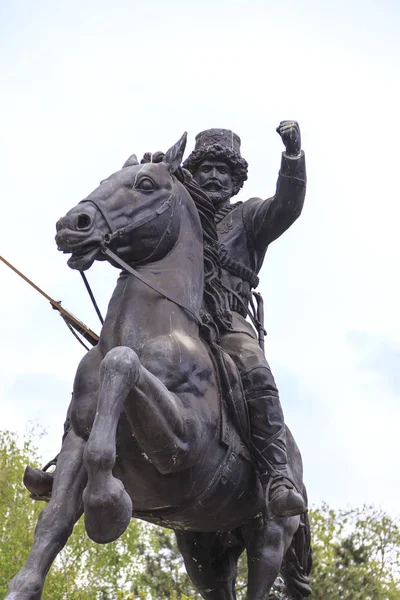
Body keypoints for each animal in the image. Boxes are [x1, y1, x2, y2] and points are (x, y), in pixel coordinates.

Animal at [7, 135, 312, 600]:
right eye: (104, 180)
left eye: (146, 184)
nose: (72, 224)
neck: (145, 332)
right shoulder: (76, 439)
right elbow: (52, 524)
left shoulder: (183, 444)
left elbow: (122, 363)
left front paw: (106, 508)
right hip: (202, 547)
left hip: (270, 535)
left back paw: (282, 489)